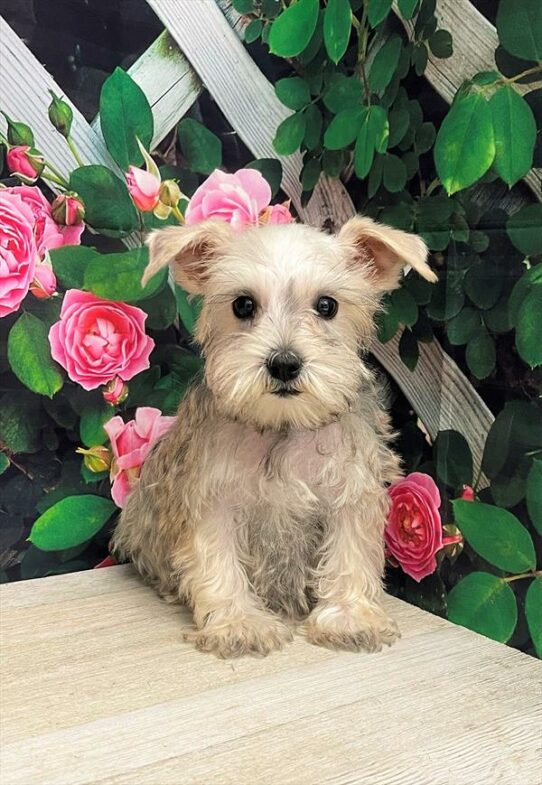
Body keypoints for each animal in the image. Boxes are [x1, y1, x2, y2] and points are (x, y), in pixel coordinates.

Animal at [113, 217, 438, 660]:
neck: (283, 428)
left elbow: (349, 554)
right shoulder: (211, 499)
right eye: (243, 305)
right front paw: (238, 623)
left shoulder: (350, 493)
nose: (284, 363)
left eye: (327, 306)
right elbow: (218, 560)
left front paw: (349, 617)